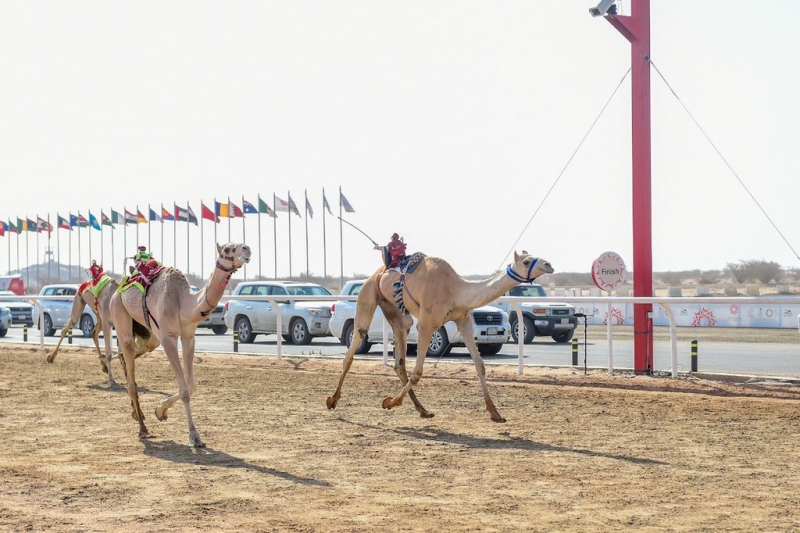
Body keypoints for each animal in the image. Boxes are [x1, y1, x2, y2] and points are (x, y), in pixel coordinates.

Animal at [108, 241, 248, 444]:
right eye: (228, 249)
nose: (247, 249)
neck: (184, 302)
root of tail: (119, 288)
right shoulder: (168, 338)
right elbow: (184, 390)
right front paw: (194, 436)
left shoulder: (188, 336)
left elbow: (192, 385)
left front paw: (160, 411)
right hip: (120, 313)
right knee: (129, 361)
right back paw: (142, 428)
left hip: (150, 335)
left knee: (131, 355)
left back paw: (136, 411)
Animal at [328, 251, 552, 422]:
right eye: (526, 261)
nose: (548, 264)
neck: (456, 290)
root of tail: (378, 273)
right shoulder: (427, 324)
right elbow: (418, 372)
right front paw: (391, 402)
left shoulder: (463, 320)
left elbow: (480, 365)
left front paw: (495, 413)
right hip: (367, 297)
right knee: (353, 347)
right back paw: (332, 400)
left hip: (396, 313)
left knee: (399, 362)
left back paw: (423, 410)